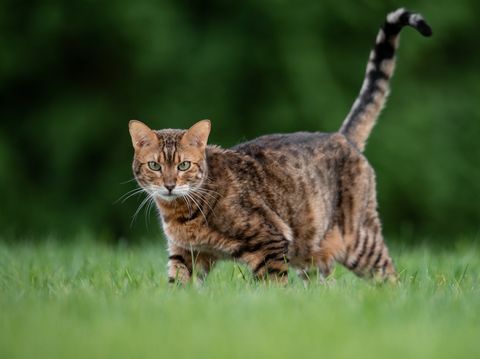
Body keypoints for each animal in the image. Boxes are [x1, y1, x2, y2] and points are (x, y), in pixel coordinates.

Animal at [127, 7, 432, 286]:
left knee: (389, 275)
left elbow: (273, 286)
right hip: (313, 253)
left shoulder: (270, 240)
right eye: (155, 165)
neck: (181, 213)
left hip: (359, 240)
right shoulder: (185, 253)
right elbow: (179, 285)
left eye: (183, 165)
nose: (169, 185)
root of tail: (341, 136)